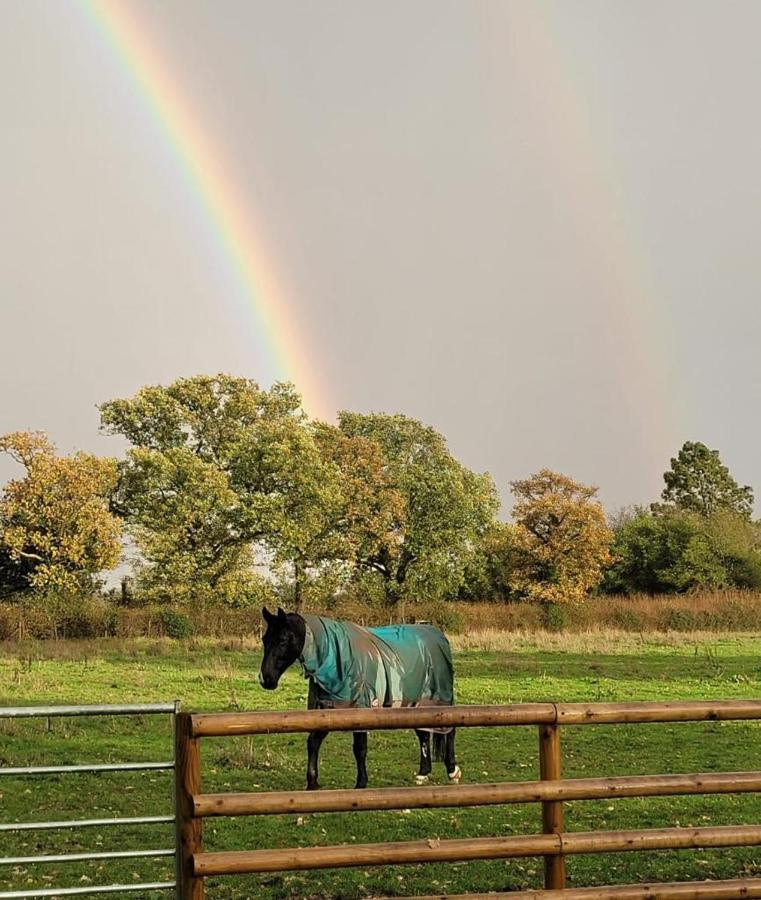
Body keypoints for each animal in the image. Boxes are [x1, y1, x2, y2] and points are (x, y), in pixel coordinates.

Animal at [258, 608, 460, 792]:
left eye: (282, 640)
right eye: (264, 639)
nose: (265, 679)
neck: (337, 659)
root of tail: (436, 634)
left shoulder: (361, 711)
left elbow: (359, 748)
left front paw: (361, 784)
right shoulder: (325, 710)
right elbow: (313, 742)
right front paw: (312, 783)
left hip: (440, 699)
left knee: (449, 731)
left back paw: (452, 771)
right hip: (417, 702)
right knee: (423, 733)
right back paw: (423, 773)